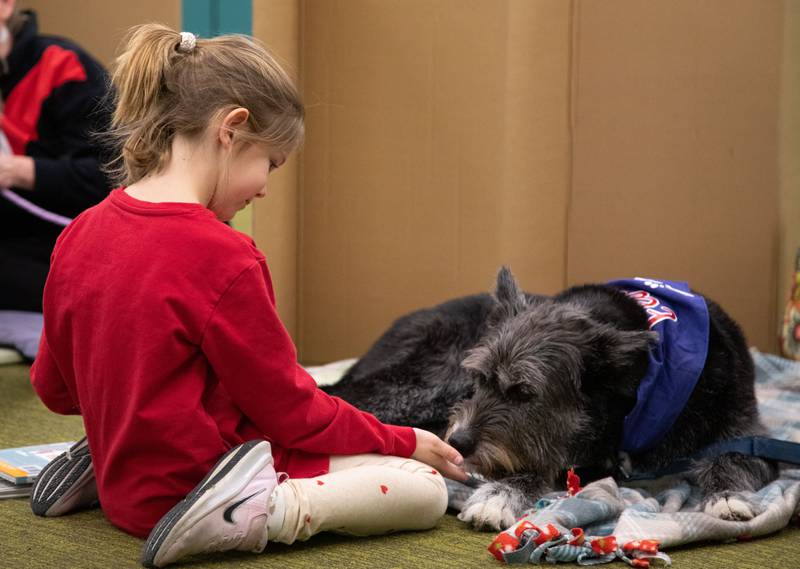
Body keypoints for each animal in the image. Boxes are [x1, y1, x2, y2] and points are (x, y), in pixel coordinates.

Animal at [324, 268, 776, 532]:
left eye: (524, 393)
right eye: (479, 379)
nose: (459, 443)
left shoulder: (748, 430)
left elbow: (732, 457)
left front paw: (727, 497)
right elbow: (537, 465)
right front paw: (500, 495)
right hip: (424, 382)